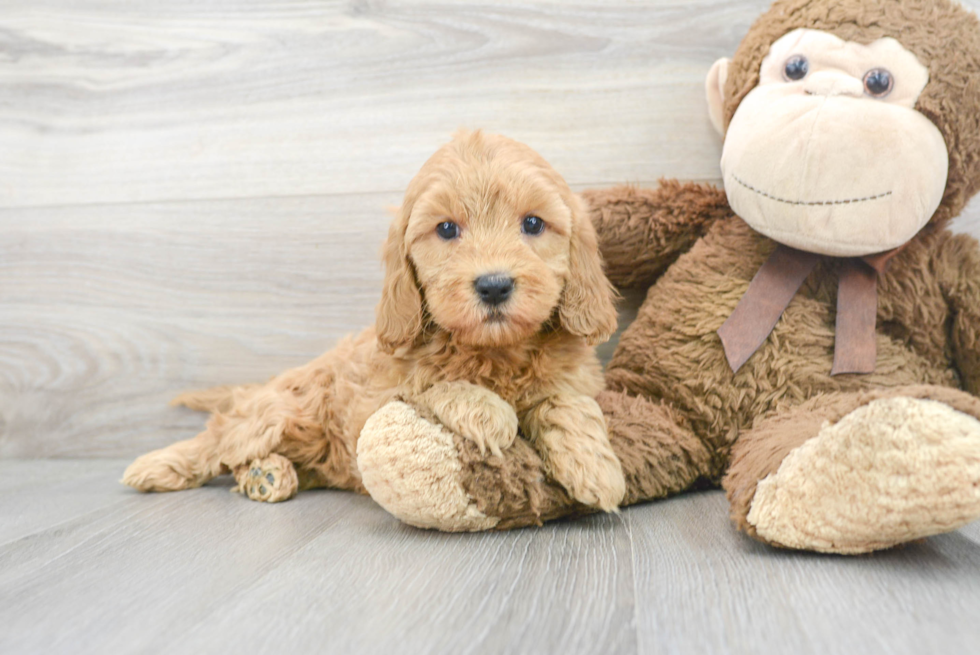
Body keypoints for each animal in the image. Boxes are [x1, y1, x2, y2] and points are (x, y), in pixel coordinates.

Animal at [124, 131, 628, 512]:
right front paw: (486, 411)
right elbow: (430, 384)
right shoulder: (377, 397)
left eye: (533, 224)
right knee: (223, 439)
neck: (495, 350)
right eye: (447, 229)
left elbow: (566, 402)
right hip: (285, 409)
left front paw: (595, 466)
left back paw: (268, 474)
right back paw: (160, 466)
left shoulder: (575, 378)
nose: (494, 285)